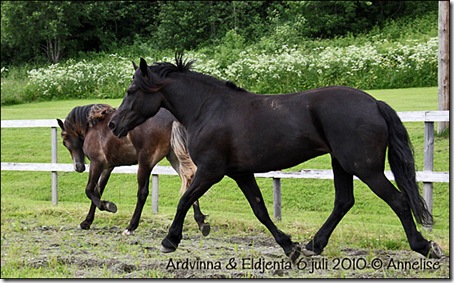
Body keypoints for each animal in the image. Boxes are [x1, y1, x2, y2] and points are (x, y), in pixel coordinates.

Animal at [109, 56, 444, 262]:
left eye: (131, 90)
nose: (113, 124)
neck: (208, 108)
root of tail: (374, 103)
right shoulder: (240, 173)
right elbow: (260, 211)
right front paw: (289, 246)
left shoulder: (211, 171)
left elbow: (184, 200)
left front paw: (170, 240)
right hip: (342, 164)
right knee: (343, 202)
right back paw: (313, 245)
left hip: (365, 167)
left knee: (398, 200)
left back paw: (425, 247)